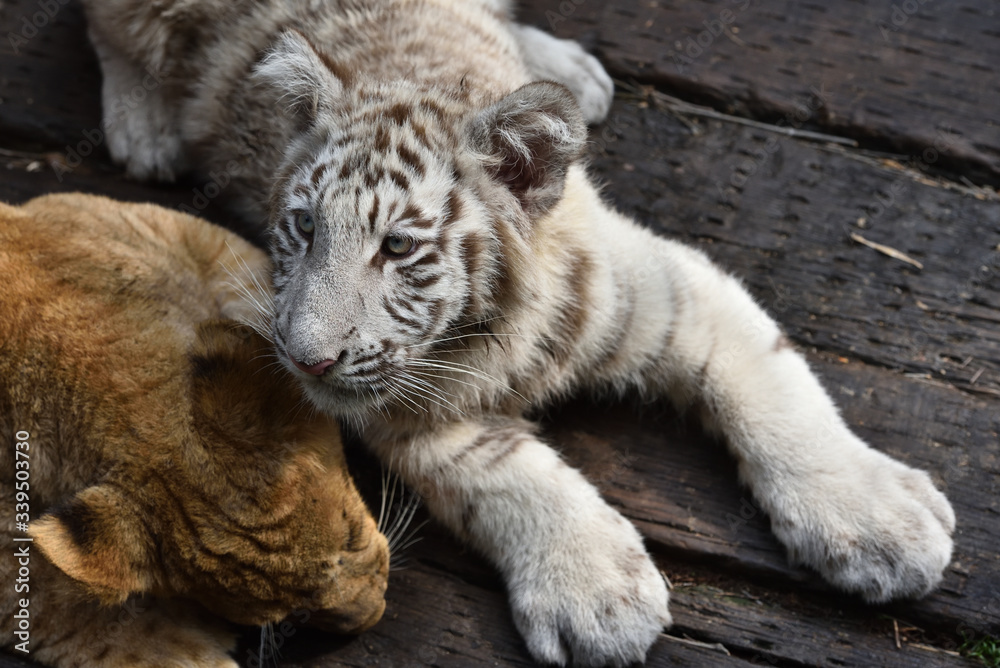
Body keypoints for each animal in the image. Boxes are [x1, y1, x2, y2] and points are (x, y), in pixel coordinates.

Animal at [79, 1, 957, 665]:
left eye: (397, 248)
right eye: (301, 227)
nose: (302, 358)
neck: (493, 329)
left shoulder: (669, 287)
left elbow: (778, 383)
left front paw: (880, 522)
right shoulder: (403, 409)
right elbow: (508, 476)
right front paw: (597, 594)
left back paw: (567, 72)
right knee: (107, 29)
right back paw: (146, 125)